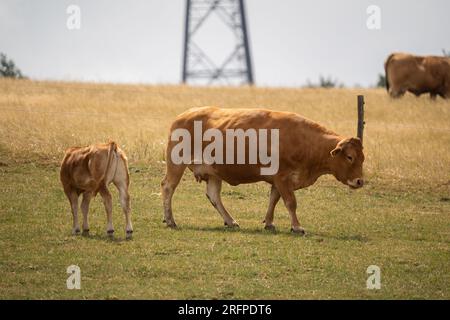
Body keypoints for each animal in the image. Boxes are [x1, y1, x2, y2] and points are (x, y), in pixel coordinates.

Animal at [162, 106, 366, 234]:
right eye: (350, 157)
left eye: (362, 158)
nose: (360, 181)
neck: (306, 141)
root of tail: (183, 115)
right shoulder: (283, 177)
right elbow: (290, 202)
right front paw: (297, 227)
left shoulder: (278, 180)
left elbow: (273, 200)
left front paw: (269, 222)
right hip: (176, 164)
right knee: (168, 188)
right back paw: (170, 220)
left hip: (214, 172)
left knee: (213, 196)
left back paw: (230, 220)